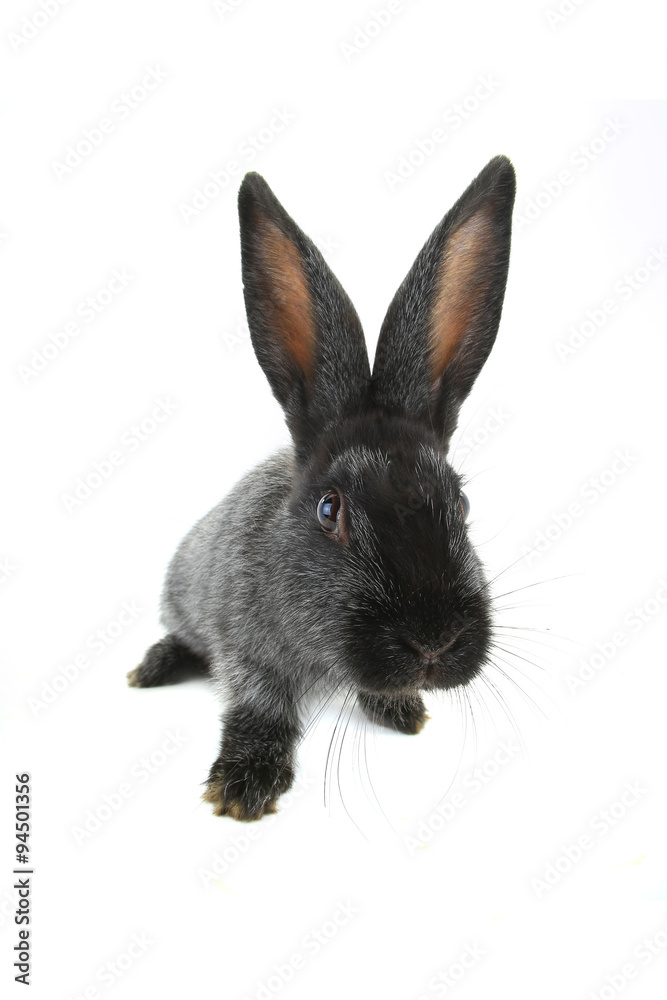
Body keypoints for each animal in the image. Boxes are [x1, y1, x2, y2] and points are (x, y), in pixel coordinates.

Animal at [128, 155, 516, 821]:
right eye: (329, 509)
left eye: (461, 503)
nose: (434, 644)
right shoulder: (248, 650)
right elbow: (261, 706)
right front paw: (244, 785)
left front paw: (402, 710)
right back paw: (153, 668)